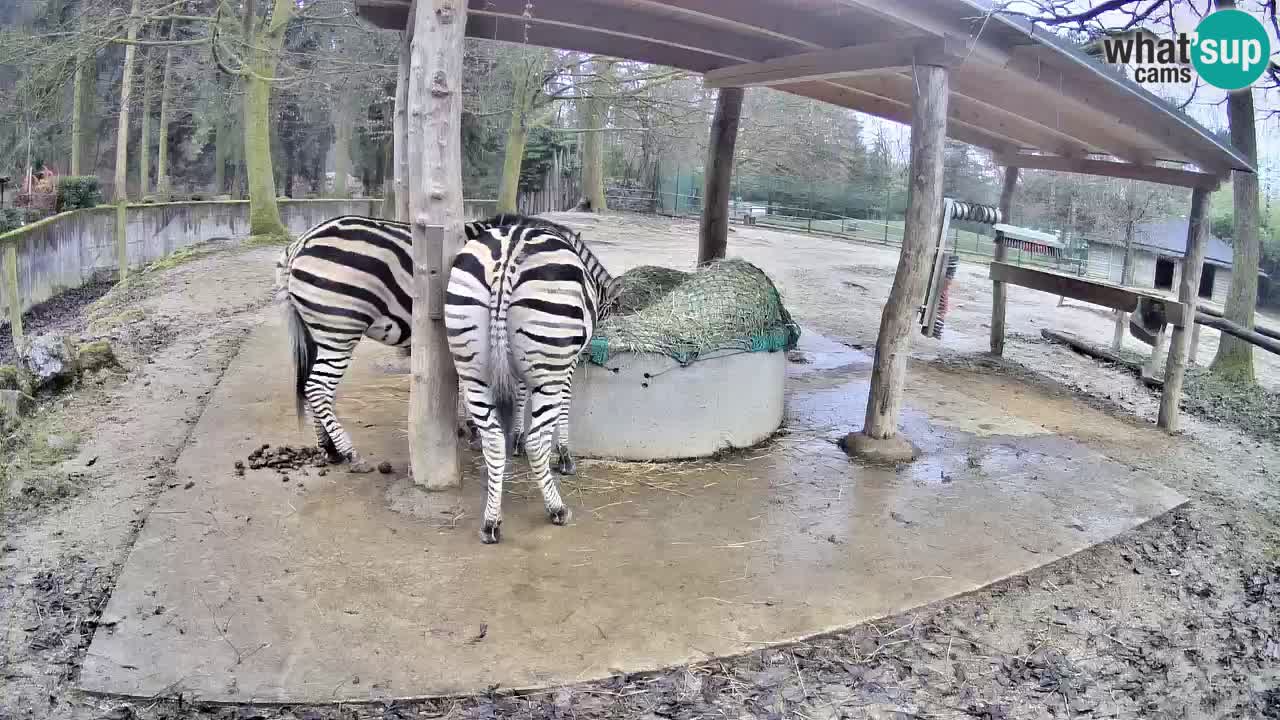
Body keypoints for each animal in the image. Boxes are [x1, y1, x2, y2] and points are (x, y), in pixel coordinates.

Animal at [276, 214, 585, 473]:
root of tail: (299, 244)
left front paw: (474, 428)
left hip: (318, 330)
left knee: (312, 387)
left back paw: (330, 450)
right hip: (339, 328)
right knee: (318, 387)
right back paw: (350, 453)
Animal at [444, 215, 618, 544]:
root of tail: (508, 255)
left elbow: (522, 395)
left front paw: (516, 438)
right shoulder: (568, 362)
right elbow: (564, 405)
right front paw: (564, 455)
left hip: (473, 367)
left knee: (492, 440)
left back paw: (491, 521)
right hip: (548, 360)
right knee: (539, 442)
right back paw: (557, 509)